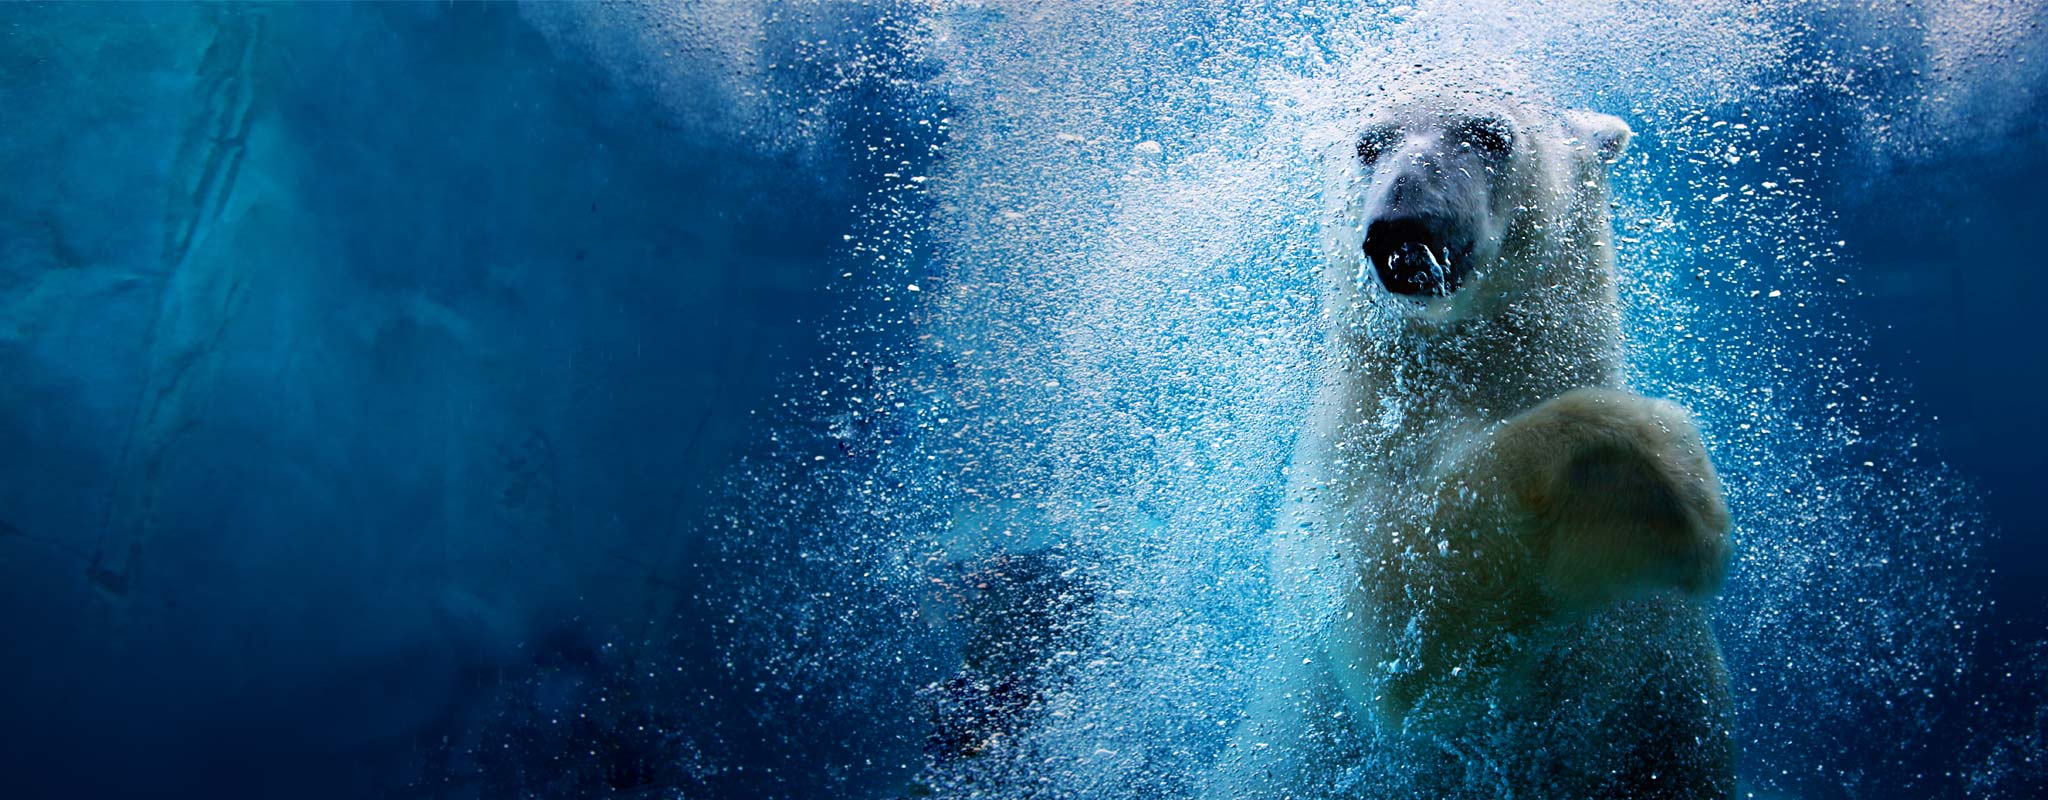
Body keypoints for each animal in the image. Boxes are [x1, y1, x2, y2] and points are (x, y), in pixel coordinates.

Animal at [1207, 89, 1736, 799]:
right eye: (1368, 143)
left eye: (1489, 134)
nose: (1404, 223)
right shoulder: (1345, 463)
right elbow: (1385, 623)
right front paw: (1668, 485)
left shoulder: (1662, 677)